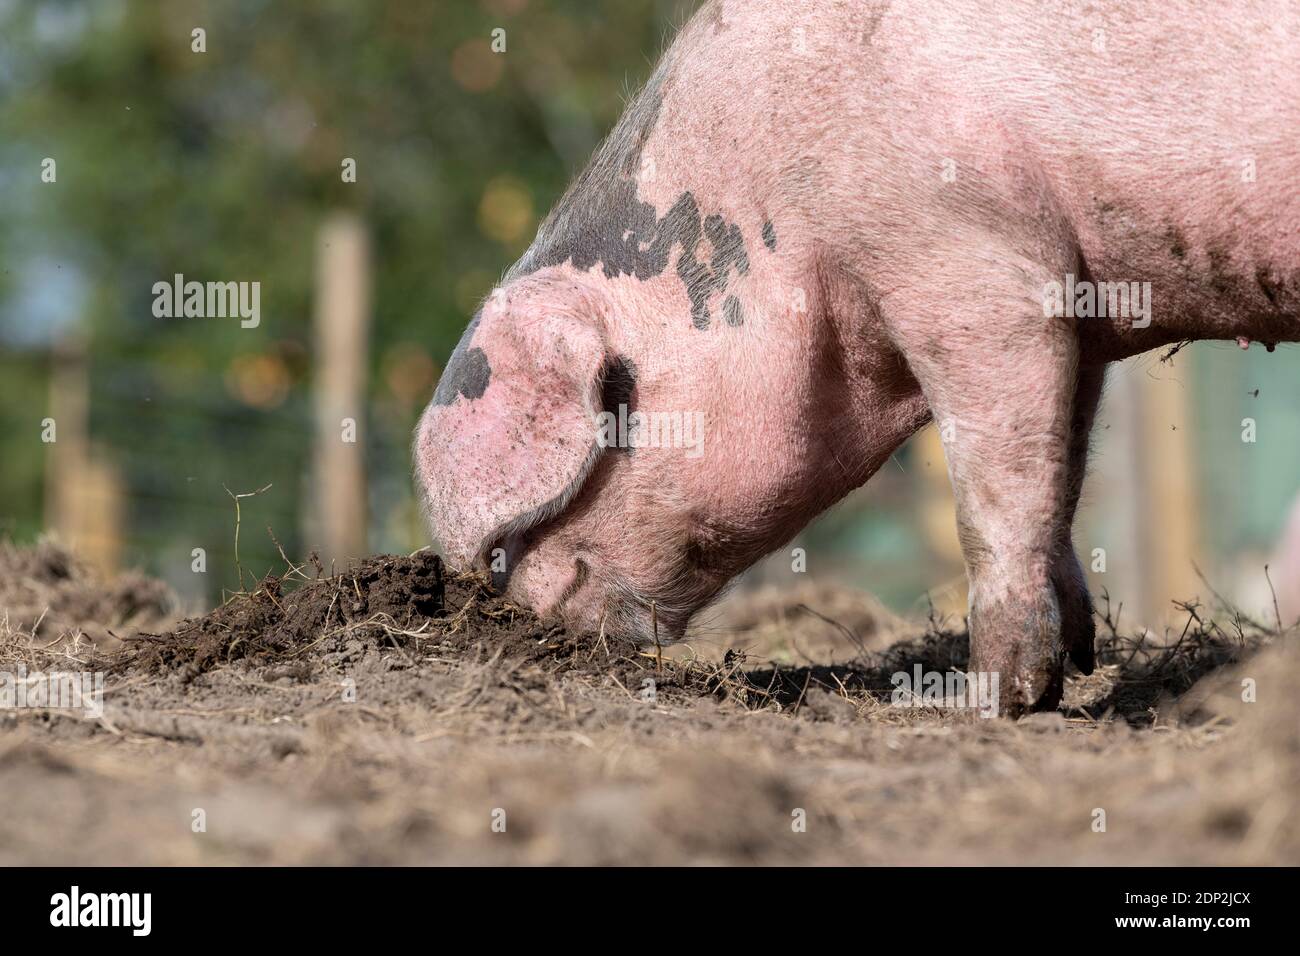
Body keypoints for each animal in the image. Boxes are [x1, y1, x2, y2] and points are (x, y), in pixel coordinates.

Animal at [416, 0, 1300, 716]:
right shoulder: (1077, 311)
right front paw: (1076, 667)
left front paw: (989, 705)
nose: (522, 621)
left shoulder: (976, 264)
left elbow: (991, 499)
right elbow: (1059, 482)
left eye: (507, 549)